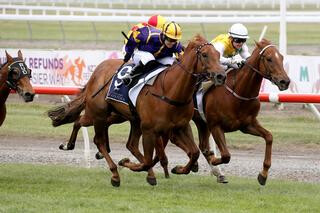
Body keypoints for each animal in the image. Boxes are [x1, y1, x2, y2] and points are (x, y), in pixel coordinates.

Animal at [48, 35, 226, 186]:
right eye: (204, 55)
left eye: (218, 54)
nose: (221, 76)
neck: (170, 90)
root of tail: (98, 70)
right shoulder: (149, 129)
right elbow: (148, 160)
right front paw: (126, 163)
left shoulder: (181, 126)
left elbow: (194, 152)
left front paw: (179, 169)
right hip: (98, 113)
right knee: (95, 136)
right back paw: (113, 173)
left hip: (128, 118)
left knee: (128, 143)